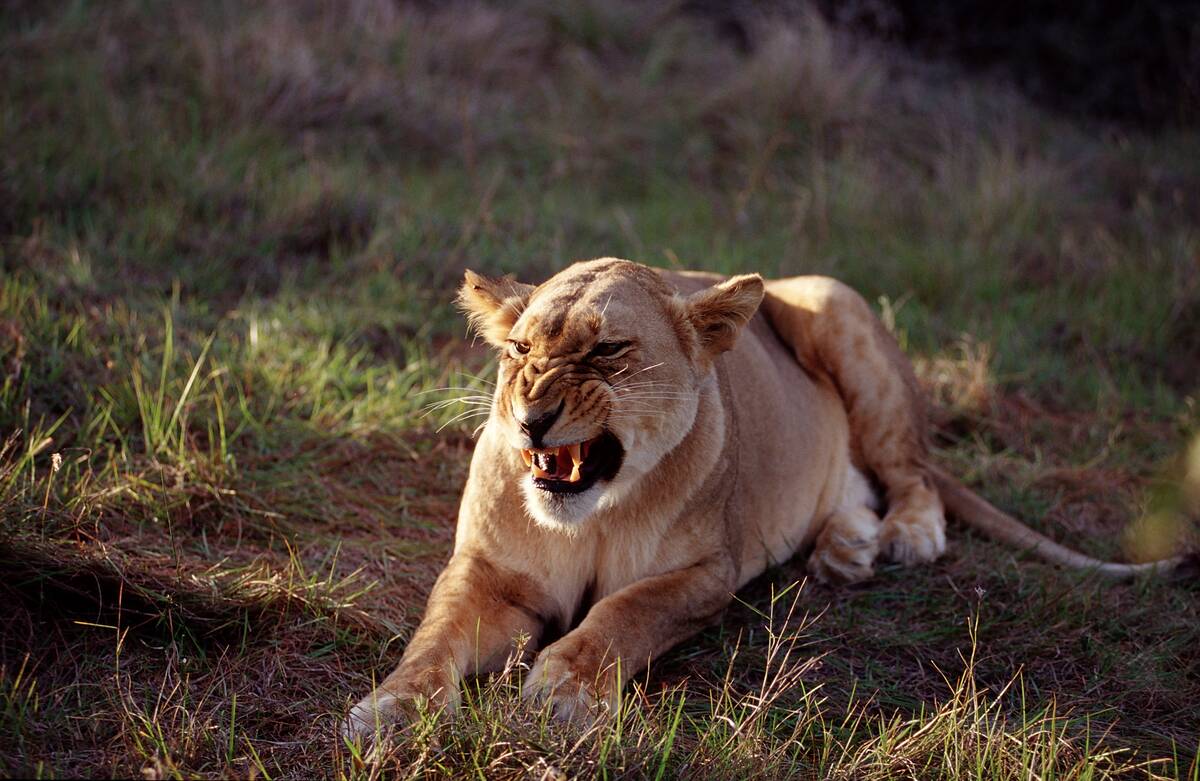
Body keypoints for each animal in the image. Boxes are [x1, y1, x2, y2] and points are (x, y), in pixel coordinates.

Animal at [346, 258, 1187, 735]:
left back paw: (904, 536)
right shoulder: (487, 571)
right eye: (519, 348)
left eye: (609, 350)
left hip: (835, 309)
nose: (531, 418)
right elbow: (434, 636)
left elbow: (618, 616)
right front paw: (390, 711)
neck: (592, 516)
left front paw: (560, 694)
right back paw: (847, 549)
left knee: (910, 470)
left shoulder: (704, 575)